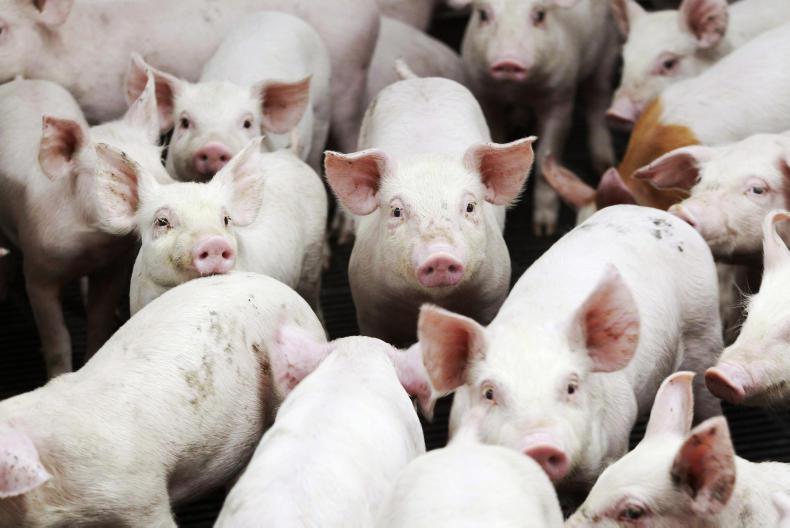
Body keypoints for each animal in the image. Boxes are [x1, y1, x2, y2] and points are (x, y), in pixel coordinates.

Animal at [0, 74, 169, 378]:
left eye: (160, 159)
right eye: (110, 175)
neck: (92, 243)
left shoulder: (112, 266)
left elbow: (99, 321)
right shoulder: (38, 272)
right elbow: (58, 338)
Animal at [324, 76, 535, 347]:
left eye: (470, 206)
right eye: (396, 211)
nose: (440, 256)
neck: (434, 300)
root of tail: (419, 80)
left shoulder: (493, 294)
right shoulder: (368, 305)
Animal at [416, 205, 722, 500]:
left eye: (571, 388)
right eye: (489, 393)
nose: (540, 445)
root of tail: (658, 214)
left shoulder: (613, 443)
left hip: (704, 326)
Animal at [452, 0, 619, 235]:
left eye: (540, 15)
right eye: (483, 15)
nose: (508, 61)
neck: (518, 89)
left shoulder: (560, 98)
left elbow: (544, 156)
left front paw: (543, 230)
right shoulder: (486, 94)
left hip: (606, 52)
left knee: (598, 99)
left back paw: (603, 164)